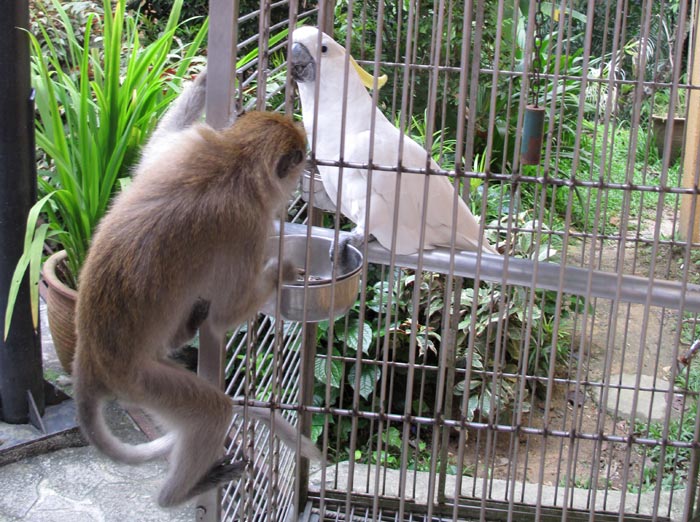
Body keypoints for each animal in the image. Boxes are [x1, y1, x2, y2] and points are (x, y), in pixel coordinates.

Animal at [73, 67, 320, 506]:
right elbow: (225, 316)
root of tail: (88, 356)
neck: (237, 159)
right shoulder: (248, 229)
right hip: (140, 382)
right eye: (299, 159)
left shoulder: (187, 149)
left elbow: (153, 152)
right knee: (211, 410)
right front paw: (285, 270)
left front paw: (206, 79)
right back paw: (178, 494)